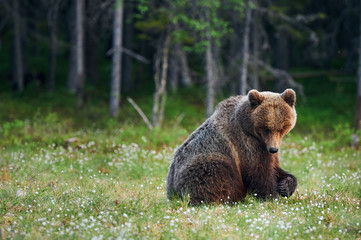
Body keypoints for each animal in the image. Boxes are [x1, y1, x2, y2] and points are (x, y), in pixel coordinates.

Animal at [166, 88, 296, 204]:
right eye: (266, 128)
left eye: (281, 128)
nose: (273, 149)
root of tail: (170, 191)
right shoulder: (247, 143)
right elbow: (259, 171)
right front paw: (272, 197)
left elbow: (274, 167)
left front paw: (285, 185)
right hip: (204, 164)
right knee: (216, 172)